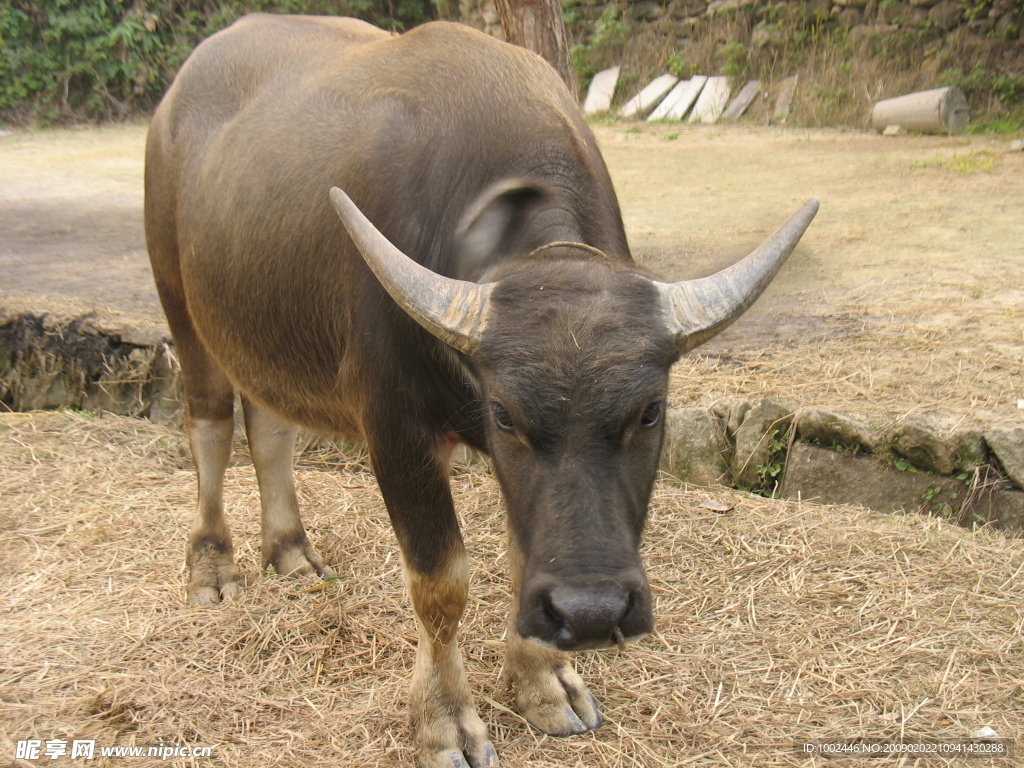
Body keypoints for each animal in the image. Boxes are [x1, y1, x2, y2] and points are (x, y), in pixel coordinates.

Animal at [142, 12, 815, 768]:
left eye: (650, 412)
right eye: (504, 413)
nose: (590, 613)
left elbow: (526, 555)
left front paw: (546, 684)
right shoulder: (395, 431)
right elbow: (442, 584)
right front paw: (445, 723)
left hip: (263, 325)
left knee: (272, 428)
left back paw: (290, 551)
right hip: (180, 303)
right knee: (209, 424)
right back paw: (211, 567)